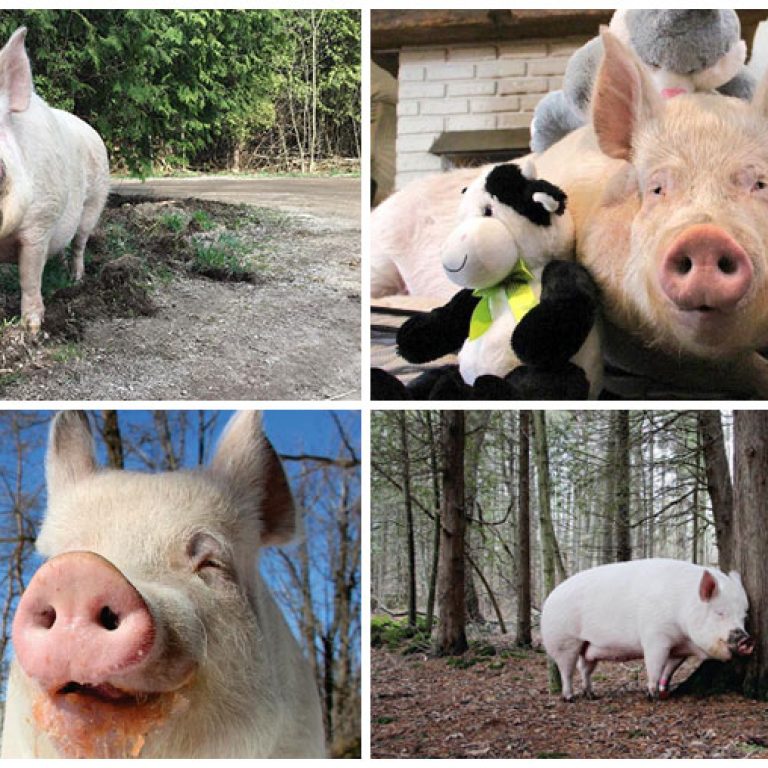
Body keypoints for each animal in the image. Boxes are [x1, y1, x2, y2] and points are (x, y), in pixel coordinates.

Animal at [0, 28, 110, 333]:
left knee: (80, 243)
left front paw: (33, 328)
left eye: (1, 172)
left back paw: (76, 280)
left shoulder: (41, 220)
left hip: (94, 202)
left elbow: (29, 277)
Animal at [540, 558, 754, 701]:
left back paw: (591, 695)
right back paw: (570, 697)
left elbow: (670, 668)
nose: (746, 639)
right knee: (567, 670)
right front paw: (653, 695)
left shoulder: (679, 649)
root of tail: (549, 597)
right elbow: (654, 663)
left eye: (744, 616)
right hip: (563, 640)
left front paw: (665, 691)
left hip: (588, 645)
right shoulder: (655, 637)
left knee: (584, 668)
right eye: (720, 612)